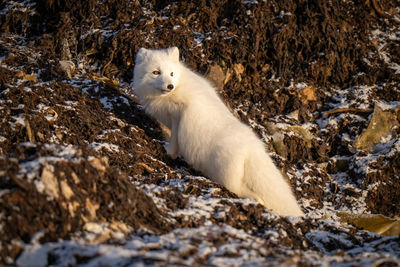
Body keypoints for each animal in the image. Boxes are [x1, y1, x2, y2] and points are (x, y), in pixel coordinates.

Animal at [134, 47, 304, 217]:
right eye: (156, 72)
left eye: (171, 73)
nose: (170, 86)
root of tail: (253, 148)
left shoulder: (178, 116)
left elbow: (175, 139)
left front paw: (168, 150)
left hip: (225, 176)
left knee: (248, 193)